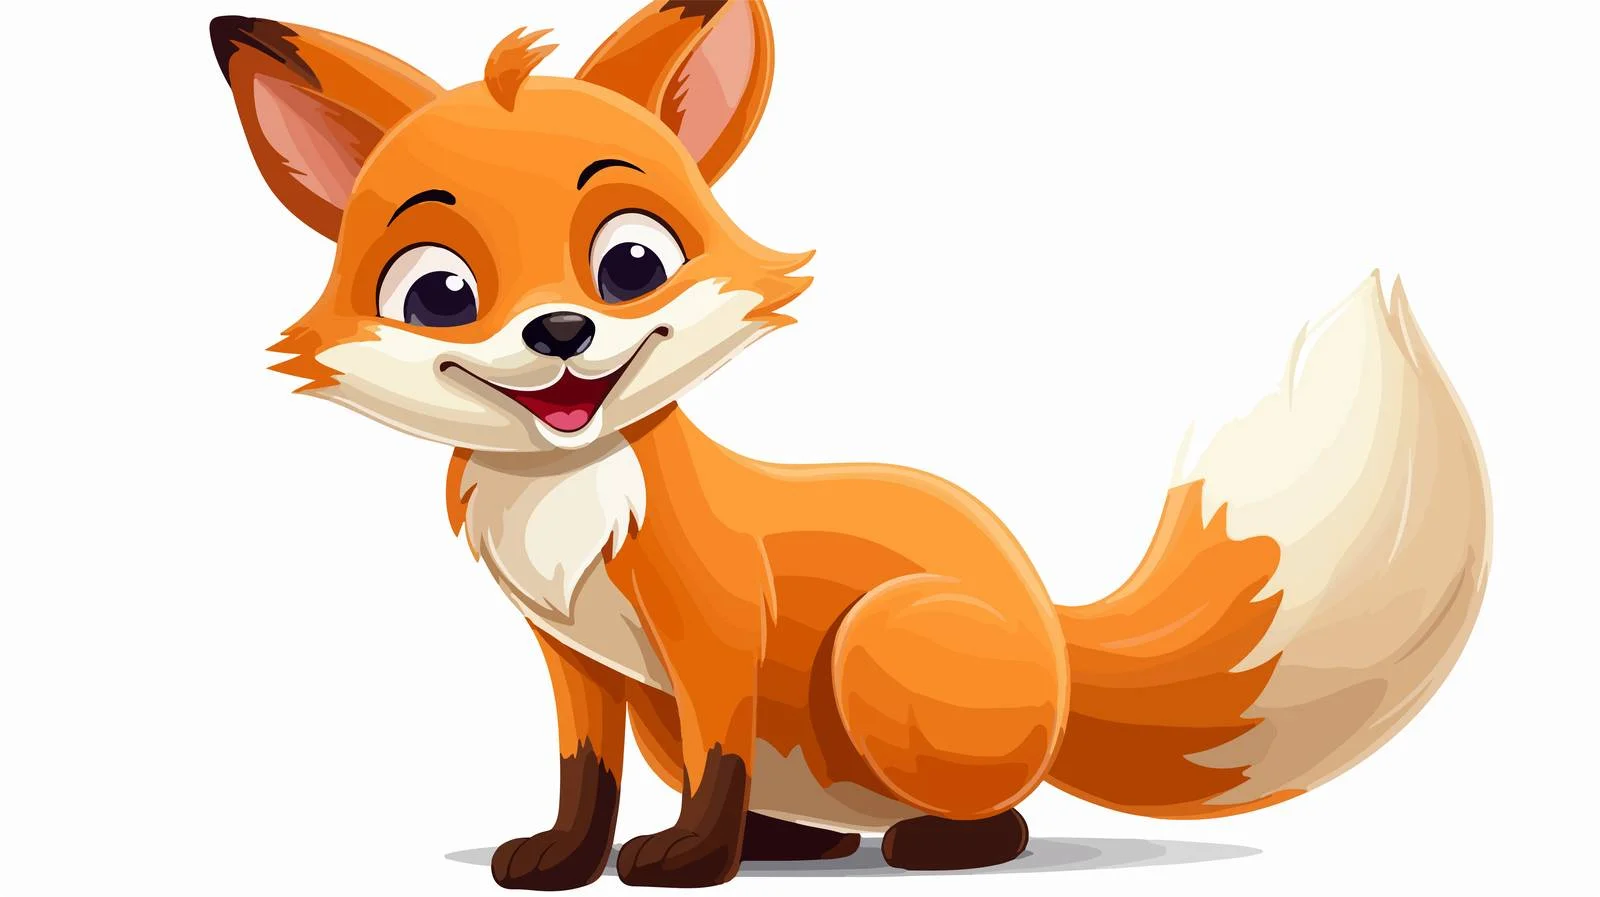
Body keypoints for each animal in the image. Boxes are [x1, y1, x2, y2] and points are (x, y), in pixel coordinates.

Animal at [207, 1, 1491, 889]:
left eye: (630, 263)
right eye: (439, 293)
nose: (562, 333)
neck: (574, 500)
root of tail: (1056, 635)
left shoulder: (714, 632)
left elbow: (719, 755)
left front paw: (688, 865)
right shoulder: (572, 657)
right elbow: (583, 777)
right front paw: (567, 863)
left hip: (885, 639)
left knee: (1002, 812)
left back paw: (931, 845)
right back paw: (794, 843)